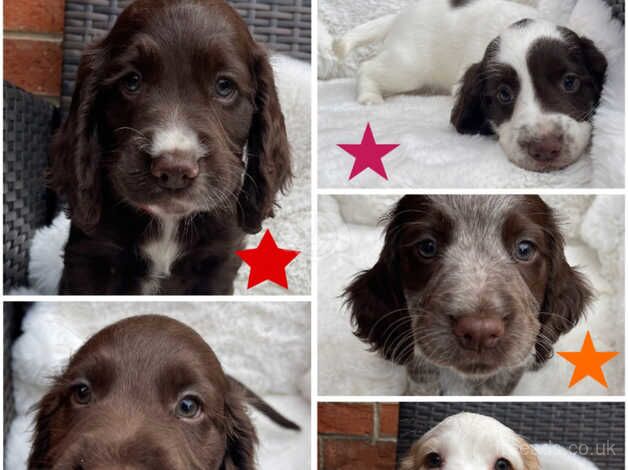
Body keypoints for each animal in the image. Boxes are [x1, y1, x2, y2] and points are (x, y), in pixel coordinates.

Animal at [51, 0, 292, 294]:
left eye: (224, 86)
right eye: (132, 81)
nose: (175, 170)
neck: (168, 222)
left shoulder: (218, 262)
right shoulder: (90, 256)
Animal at [336, 0, 604, 173]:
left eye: (570, 82)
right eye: (504, 94)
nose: (545, 148)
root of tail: (399, 17)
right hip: (409, 66)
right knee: (368, 67)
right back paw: (370, 97)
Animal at [346, 196, 592, 394]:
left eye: (525, 249)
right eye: (427, 246)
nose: (479, 332)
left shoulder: (511, 368)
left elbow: (495, 387)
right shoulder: (420, 358)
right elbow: (423, 382)